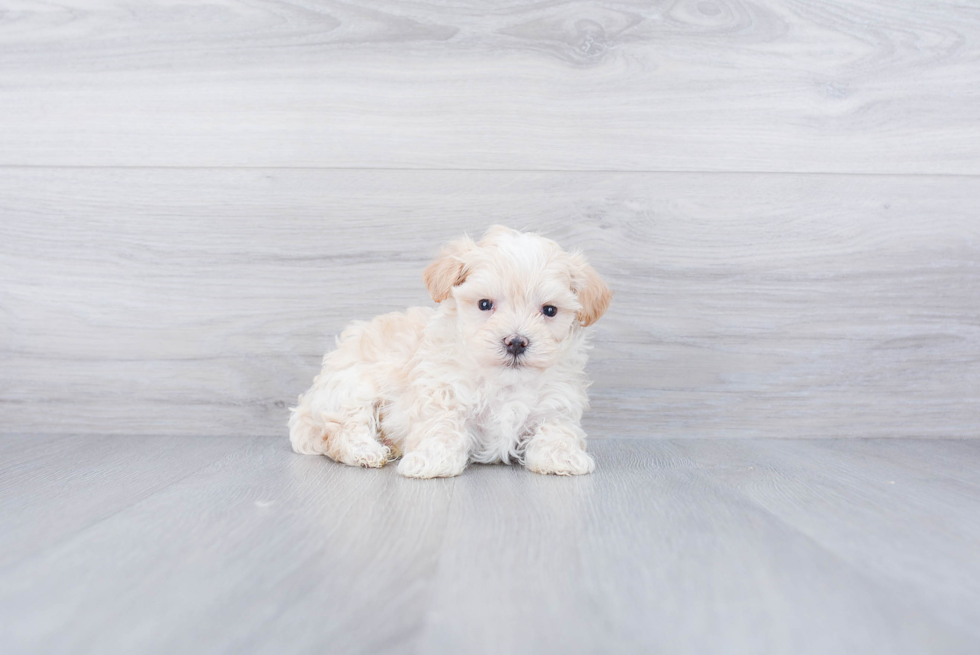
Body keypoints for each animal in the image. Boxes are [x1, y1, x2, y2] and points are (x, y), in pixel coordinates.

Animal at [288, 228, 612, 480]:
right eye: (484, 304)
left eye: (549, 310)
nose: (516, 342)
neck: (504, 381)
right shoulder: (442, 391)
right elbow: (442, 426)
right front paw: (431, 461)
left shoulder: (555, 402)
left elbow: (557, 430)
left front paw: (561, 457)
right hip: (351, 387)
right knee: (341, 429)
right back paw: (366, 451)